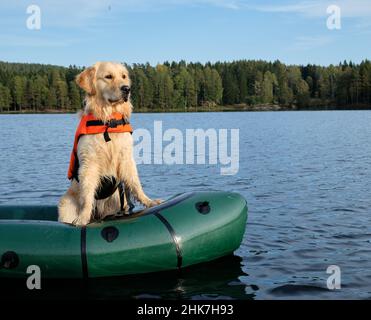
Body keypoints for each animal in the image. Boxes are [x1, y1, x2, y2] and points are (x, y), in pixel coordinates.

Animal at [58, 60, 161, 225]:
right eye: (108, 76)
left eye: (124, 76)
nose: (127, 89)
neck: (109, 121)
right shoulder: (89, 162)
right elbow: (87, 194)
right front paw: (83, 217)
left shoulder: (126, 157)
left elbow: (135, 183)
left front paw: (150, 201)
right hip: (66, 204)